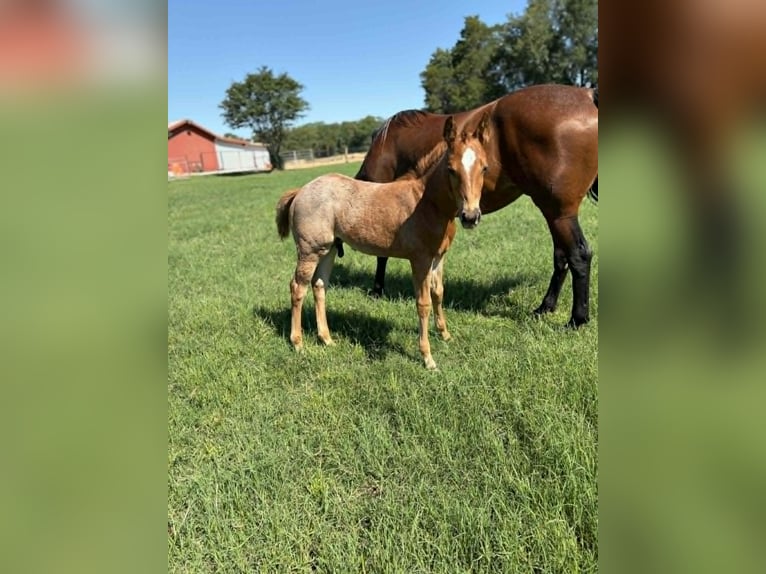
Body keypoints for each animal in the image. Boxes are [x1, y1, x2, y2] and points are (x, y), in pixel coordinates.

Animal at [275, 113, 490, 369]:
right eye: (451, 169)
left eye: (485, 168)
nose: (470, 216)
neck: (426, 202)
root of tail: (300, 191)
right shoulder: (420, 260)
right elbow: (423, 303)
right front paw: (427, 358)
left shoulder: (439, 257)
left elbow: (439, 293)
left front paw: (445, 335)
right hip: (309, 251)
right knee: (298, 288)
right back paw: (298, 343)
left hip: (328, 249)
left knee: (319, 286)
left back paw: (327, 339)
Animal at [354, 84, 599, 327]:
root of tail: (587, 96)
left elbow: (382, 253)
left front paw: (377, 290)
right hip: (553, 212)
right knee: (561, 257)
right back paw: (545, 307)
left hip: (559, 213)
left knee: (579, 255)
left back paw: (577, 319)